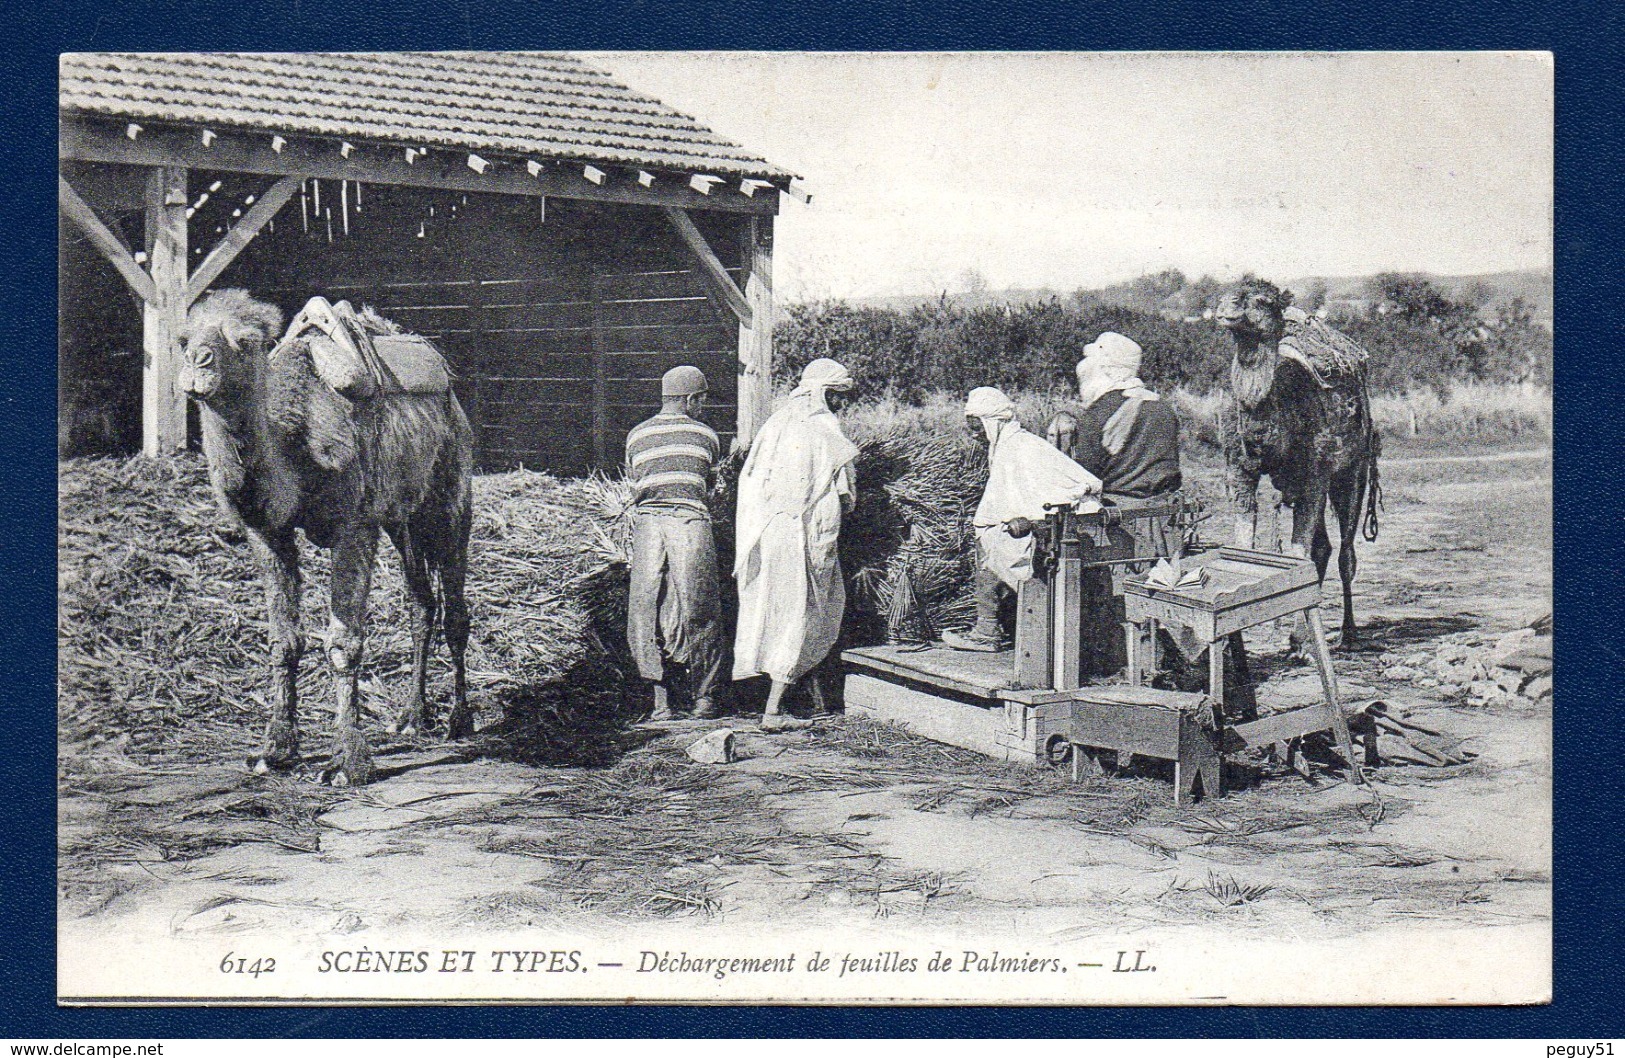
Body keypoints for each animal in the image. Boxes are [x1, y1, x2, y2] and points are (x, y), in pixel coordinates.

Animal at [184, 289, 477, 786]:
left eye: (247, 341)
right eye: (184, 338)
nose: (197, 363)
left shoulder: (354, 525)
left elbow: (342, 643)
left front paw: (347, 762)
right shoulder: (268, 533)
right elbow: (284, 641)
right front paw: (274, 751)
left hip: (451, 496)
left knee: (456, 610)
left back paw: (459, 720)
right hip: (400, 517)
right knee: (421, 602)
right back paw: (411, 717)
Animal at [1215, 277, 1378, 650]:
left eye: (1262, 300)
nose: (1226, 304)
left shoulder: (1316, 473)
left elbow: (1296, 555)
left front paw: (1303, 641)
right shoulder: (1239, 470)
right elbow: (1243, 545)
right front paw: (1235, 640)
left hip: (1354, 468)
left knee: (1345, 551)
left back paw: (1347, 634)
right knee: (1323, 547)